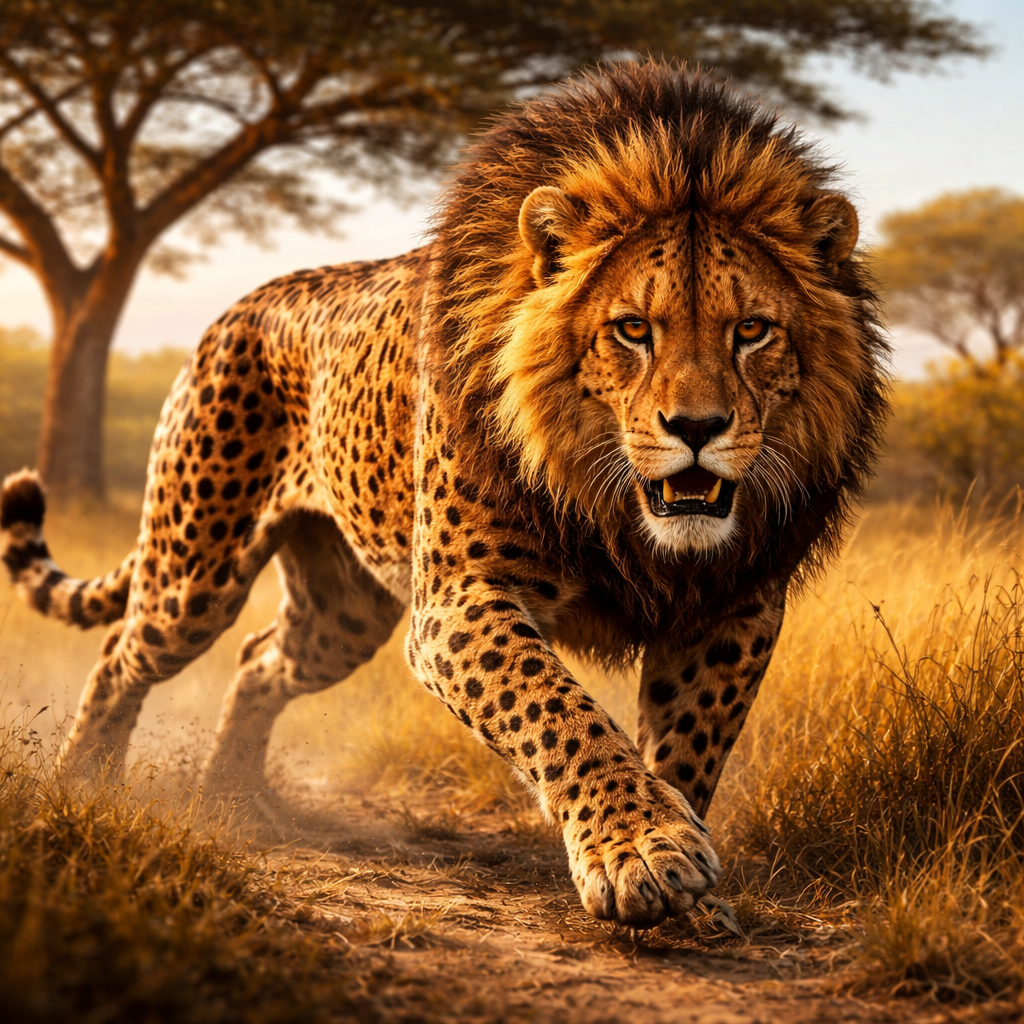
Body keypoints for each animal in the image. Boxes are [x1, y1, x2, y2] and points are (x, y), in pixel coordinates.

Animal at [1, 61, 888, 929]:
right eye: (634, 330)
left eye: (753, 331)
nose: (698, 427)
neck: (620, 514)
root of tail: (240, 307)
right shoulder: (462, 601)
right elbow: (560, 711)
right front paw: (640, 849)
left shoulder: (735, 606)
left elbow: (687, 745)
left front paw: (687, 881)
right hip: (193, 572)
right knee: (123, 654)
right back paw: (84, 785)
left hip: (341, 613)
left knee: (259, 661)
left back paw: (234, 798)